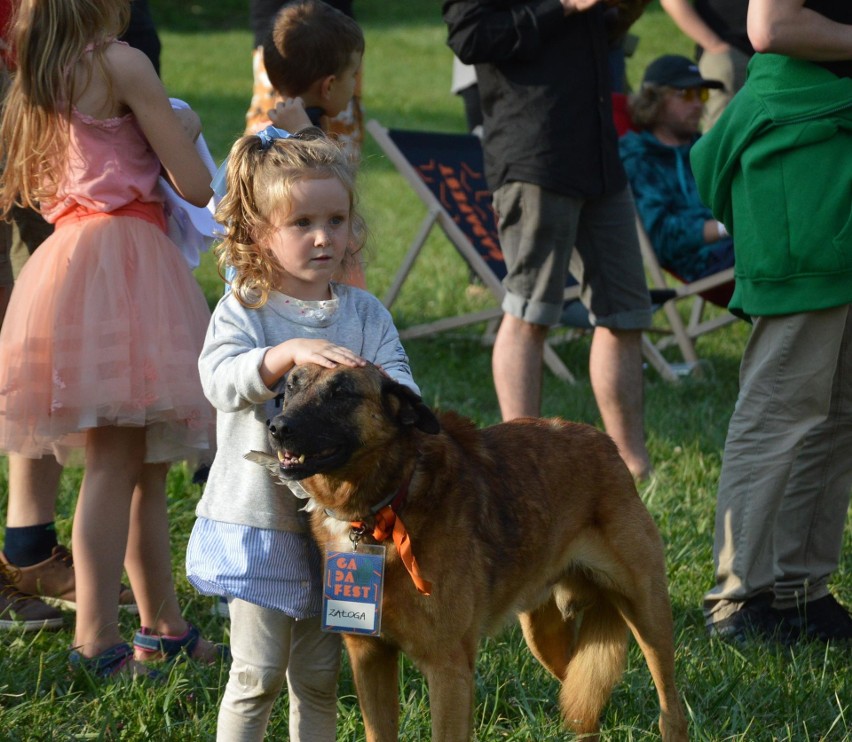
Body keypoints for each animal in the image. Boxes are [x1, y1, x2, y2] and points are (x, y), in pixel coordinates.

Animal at [250, 364, 688, 740]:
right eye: (289, 388)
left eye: (341, 393)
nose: (277, 427)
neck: (387, 505)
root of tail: (605, 443)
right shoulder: (370, 657)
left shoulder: (449, 670)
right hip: (544, 637)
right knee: (582, 705)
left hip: (649, 616)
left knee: (670, 706)